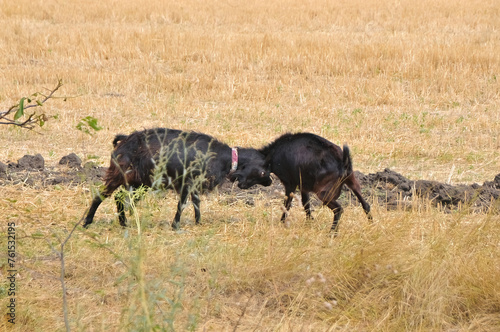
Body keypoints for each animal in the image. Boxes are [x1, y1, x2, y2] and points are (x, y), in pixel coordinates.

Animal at [84, 128, 272, 230]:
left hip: (139, 182)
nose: (270, 182)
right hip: (119, 175)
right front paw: (175, 225)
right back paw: (87, 222)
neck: (224, 158)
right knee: (101, 196)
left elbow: (196, 203)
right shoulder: (186, 183)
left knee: (120, 197)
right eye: (264, 172)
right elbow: (182, 204)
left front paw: (198, 222)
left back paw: (123, 223)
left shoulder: (194, 185)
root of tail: (123, 141)